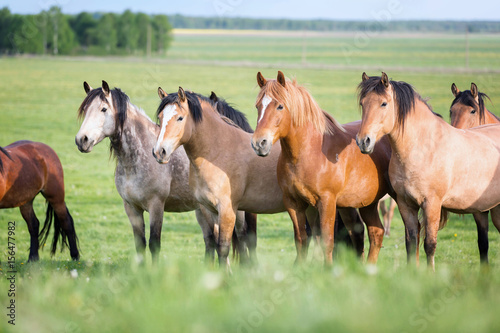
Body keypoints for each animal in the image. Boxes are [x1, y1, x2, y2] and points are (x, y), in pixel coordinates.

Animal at [75, 81, 256, 264]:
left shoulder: (156, 206)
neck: (135, 159)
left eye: (103, 109)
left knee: (240, 237)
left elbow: (154, 243)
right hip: (202, 210)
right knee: (211, 240)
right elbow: (140, 245)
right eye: (85, 109)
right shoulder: (131, 208)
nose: (81, 140)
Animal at [152, 86, 364, 268]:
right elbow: (217, 243)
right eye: (160, 117)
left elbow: (228, 246)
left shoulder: (229, 210)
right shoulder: (209, 210)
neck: (218, 151)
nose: (159, 152)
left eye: (180, 118)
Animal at [250, 70, 394, 264]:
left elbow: (327, 240)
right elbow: (301, 239)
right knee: (372, 232)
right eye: (258, 106)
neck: (310, 152)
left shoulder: (327, 202)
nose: (259, 143)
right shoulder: (294, 203)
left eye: (280, 106)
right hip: (364, 203)